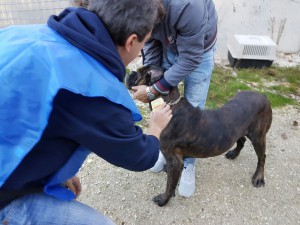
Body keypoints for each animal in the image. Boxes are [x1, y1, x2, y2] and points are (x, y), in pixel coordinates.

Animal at [124, 66, 272, 207]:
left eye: (140, 73)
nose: (130, 72)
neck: (170, 106)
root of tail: (263, 95)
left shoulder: (174, 162)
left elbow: (169, 185)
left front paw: (163, 200)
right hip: (240, 130)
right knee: (241, 141)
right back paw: (233, 154)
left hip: (258, 137)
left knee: (262, 157)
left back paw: (258, 177)